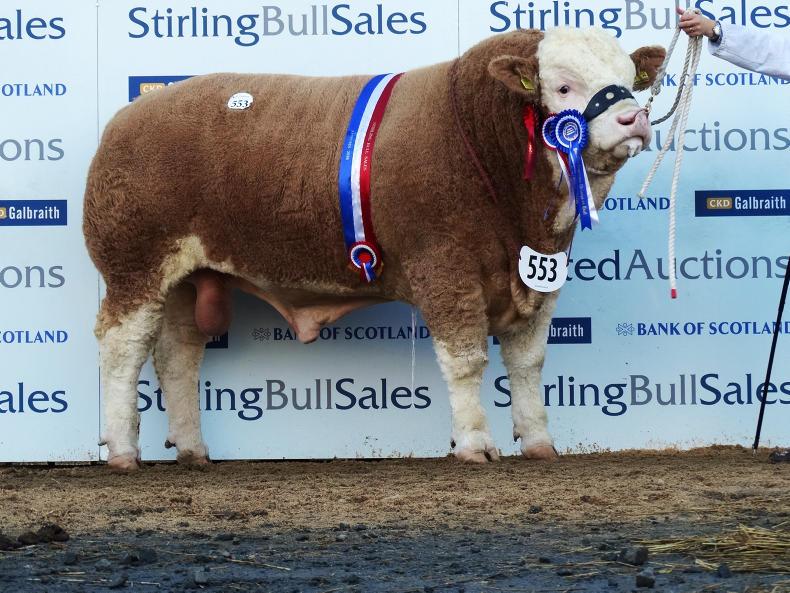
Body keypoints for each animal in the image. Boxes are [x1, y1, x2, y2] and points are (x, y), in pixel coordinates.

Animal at [83, 27, 664, 470]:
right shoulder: (445, 265)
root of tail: (132, 112)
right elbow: (466, 360)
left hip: (186, 276)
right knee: (122, 349)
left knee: (177, 354)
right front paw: (475, 444)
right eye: (563, 86)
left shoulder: (536, 275)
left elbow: (528, 362)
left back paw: (193, 450)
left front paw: (540, 443)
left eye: (626, 79)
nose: (634, 118)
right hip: (134, 265)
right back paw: (123, 452)